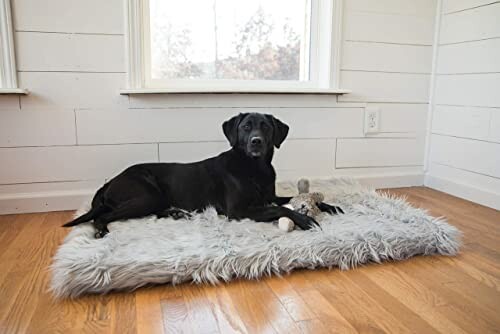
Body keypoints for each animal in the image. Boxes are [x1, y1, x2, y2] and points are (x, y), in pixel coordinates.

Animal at [63, 113, 344, 239]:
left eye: (265, 127)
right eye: (246, 127)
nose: (256, 142)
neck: (254, 168)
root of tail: (110, 181)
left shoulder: (270, 195)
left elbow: (294, 199)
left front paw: (330, 206)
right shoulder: (239, 210)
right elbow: (282, 209)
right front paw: (304, 219)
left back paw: (177, 213)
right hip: (146, 194)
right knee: (103, 214)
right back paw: (101, 229)